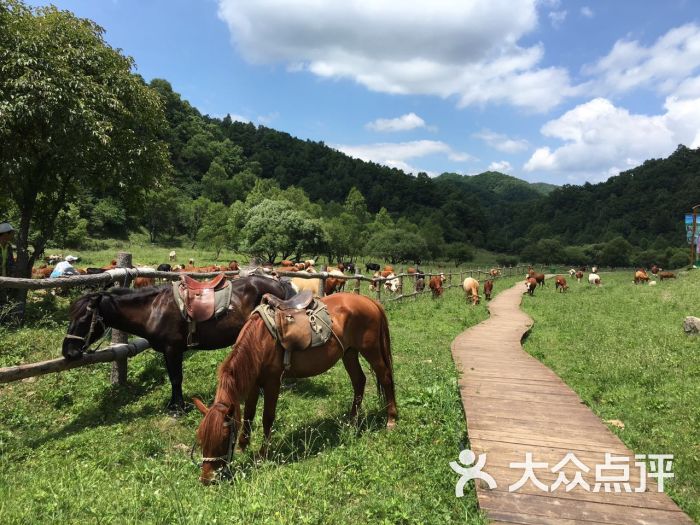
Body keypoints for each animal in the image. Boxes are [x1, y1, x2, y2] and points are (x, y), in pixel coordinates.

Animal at [61, 274, 294, 410]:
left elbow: (176, 378)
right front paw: (173, 405)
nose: (68, 352)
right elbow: (173, 378)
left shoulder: (173, 349)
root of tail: (279, 284)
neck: (153, 309)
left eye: (83, 320)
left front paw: (178, 408)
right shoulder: (167, 351)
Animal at [194, 290, 396, 484]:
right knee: (359, 381)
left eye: (223, 439)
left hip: (371, 351)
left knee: (386, 378)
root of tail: (369, 301)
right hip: (349, 353)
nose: (207, 479)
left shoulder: (272, 382)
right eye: (201, 439)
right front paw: (243, 446)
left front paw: (262, 455)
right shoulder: (253, 382)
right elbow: (249, 415)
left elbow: (267, 418)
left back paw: (391, 420)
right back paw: (352, 423)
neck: (260, 340)